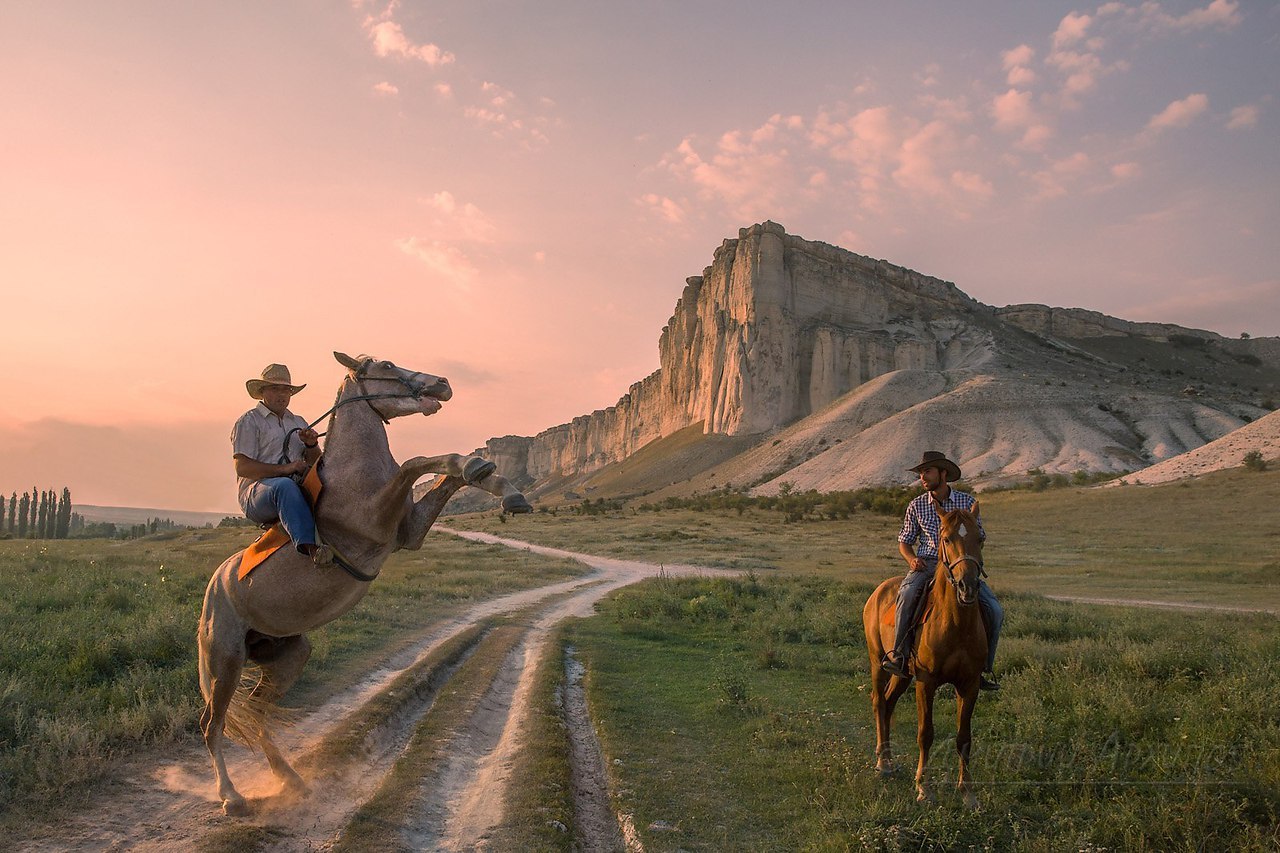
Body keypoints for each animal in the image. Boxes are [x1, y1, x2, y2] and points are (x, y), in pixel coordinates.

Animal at [197, 348, 527, 814]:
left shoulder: (409, 532)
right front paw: (483, 469)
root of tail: (214, 589)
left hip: (286, 656)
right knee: (213, 723)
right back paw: (232, 796)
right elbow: (416, 463)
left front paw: (499, 482)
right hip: (224, 661)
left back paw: (291, 779)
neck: (354, 474)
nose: (442, 383)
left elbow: (445, 474)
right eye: (386, 365)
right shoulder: (375, 517)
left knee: (257, 715)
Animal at [865, 502, 983, 809]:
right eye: (946, 539)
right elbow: (925, 733)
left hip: (902, 674)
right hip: (878, 662)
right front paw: (924, 789)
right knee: (879, 702)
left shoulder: (970, 684)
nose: (967, 586)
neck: (954, 622)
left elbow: (964, 737)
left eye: (980, 538)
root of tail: (879, 590)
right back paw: (882, 763)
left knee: (889, 703)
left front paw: (968, 792)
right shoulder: (926, 682)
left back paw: (889, 760)